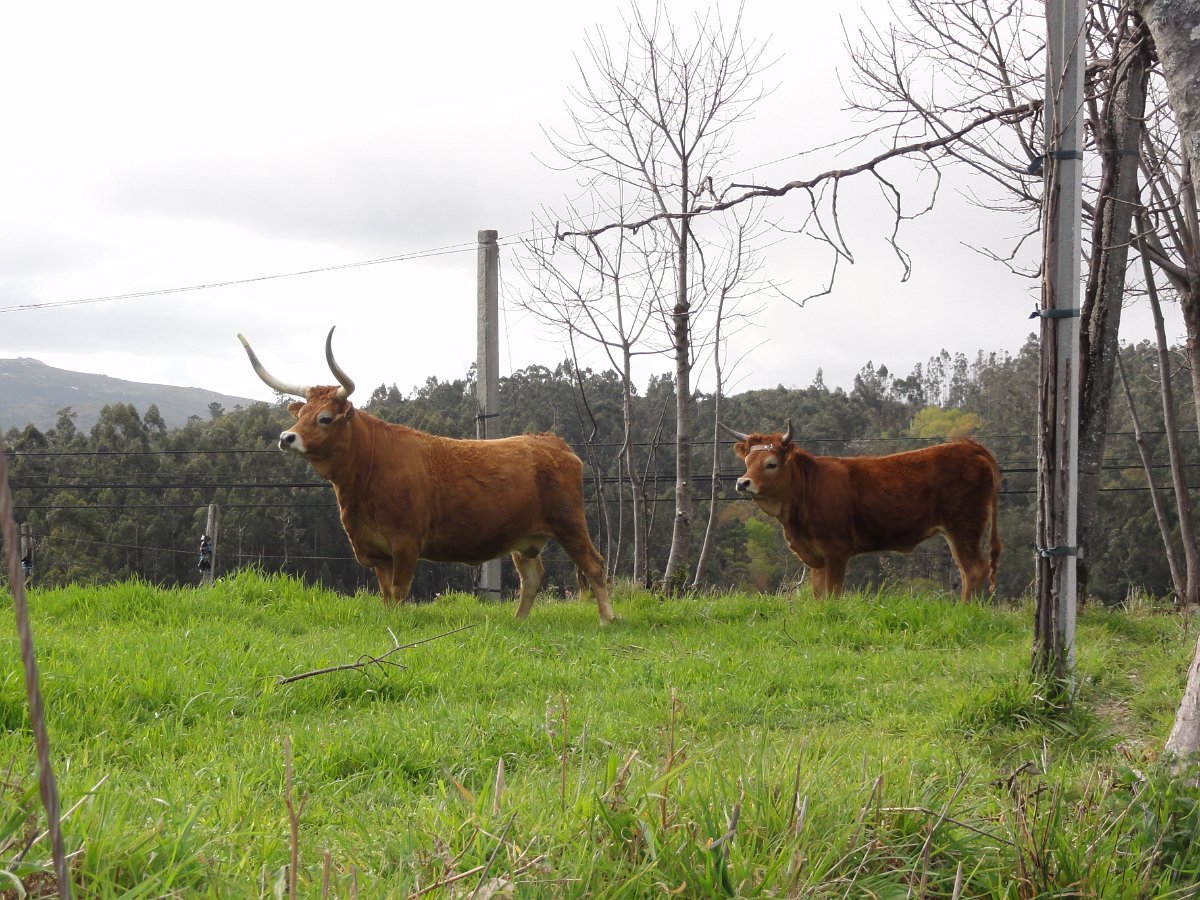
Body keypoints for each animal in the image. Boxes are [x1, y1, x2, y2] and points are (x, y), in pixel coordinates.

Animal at [238, 327, 614, 624]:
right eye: (301, 413)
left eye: (325, 418)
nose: (287, 437)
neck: (364, 479)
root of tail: (550, 441)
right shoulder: (377, 550)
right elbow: (386, 595)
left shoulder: (406, 543)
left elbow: (399, 591)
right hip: (524, 538)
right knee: (532, 578)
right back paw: (518, 621)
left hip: (569, 522)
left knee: (593, 564)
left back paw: (607, 619)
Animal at [719, 420, 1001, 601]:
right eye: (747, 461)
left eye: (771, 463)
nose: (743, 482)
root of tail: (968, 446)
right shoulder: (817, 556)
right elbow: (819, 593)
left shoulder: (837, 550)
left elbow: (833, 593)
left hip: (964, 525)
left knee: (974, 570)